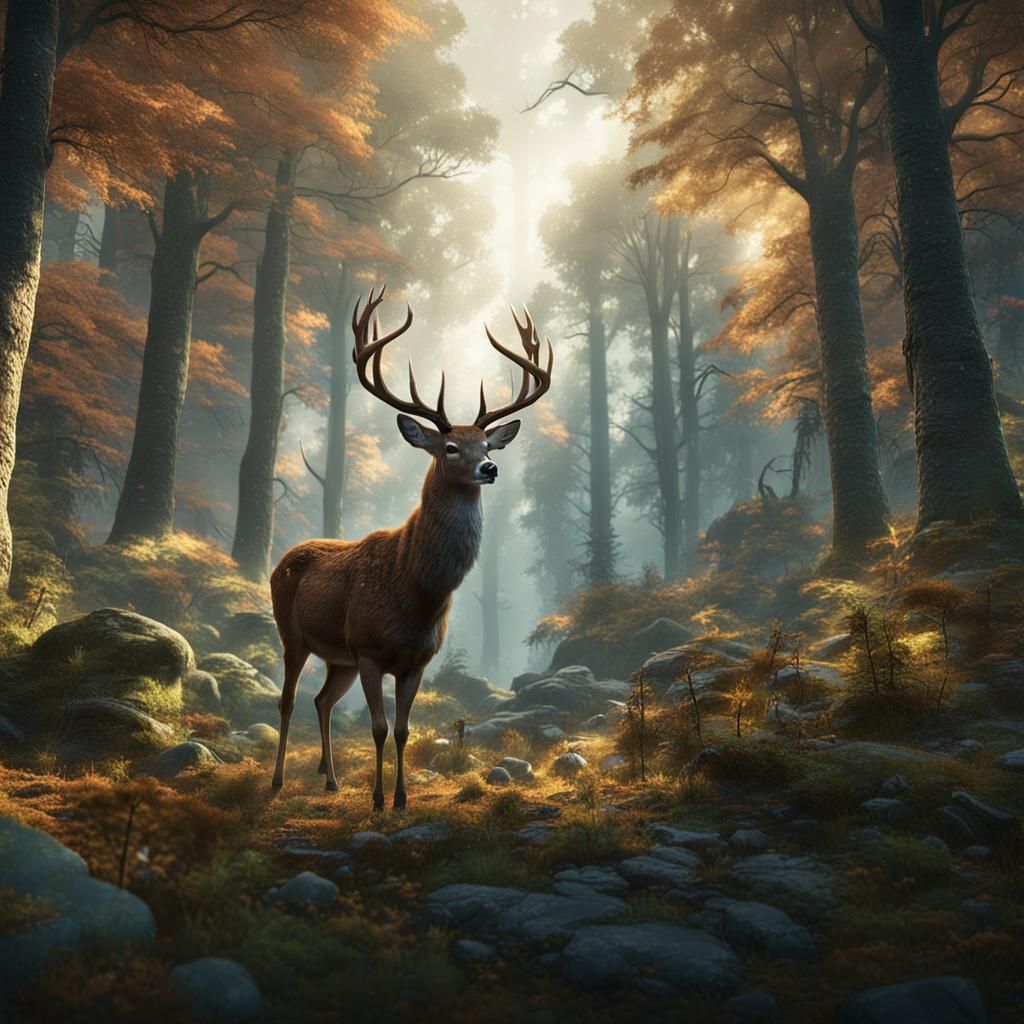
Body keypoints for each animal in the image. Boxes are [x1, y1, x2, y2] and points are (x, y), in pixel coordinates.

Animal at [268, 285, 553, 811]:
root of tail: (281, 561)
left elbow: (402, 730)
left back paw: (331, 780)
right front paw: (378, 800)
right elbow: (379, 729)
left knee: (322, 700)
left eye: (487, 444)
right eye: (451, 448)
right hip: (293, 636)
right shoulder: (367, 649)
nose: (490, 469)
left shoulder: (416, 661)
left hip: (337, 658)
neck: (416, 592)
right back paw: (277, 780)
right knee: (288, 699)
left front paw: (401, 799)